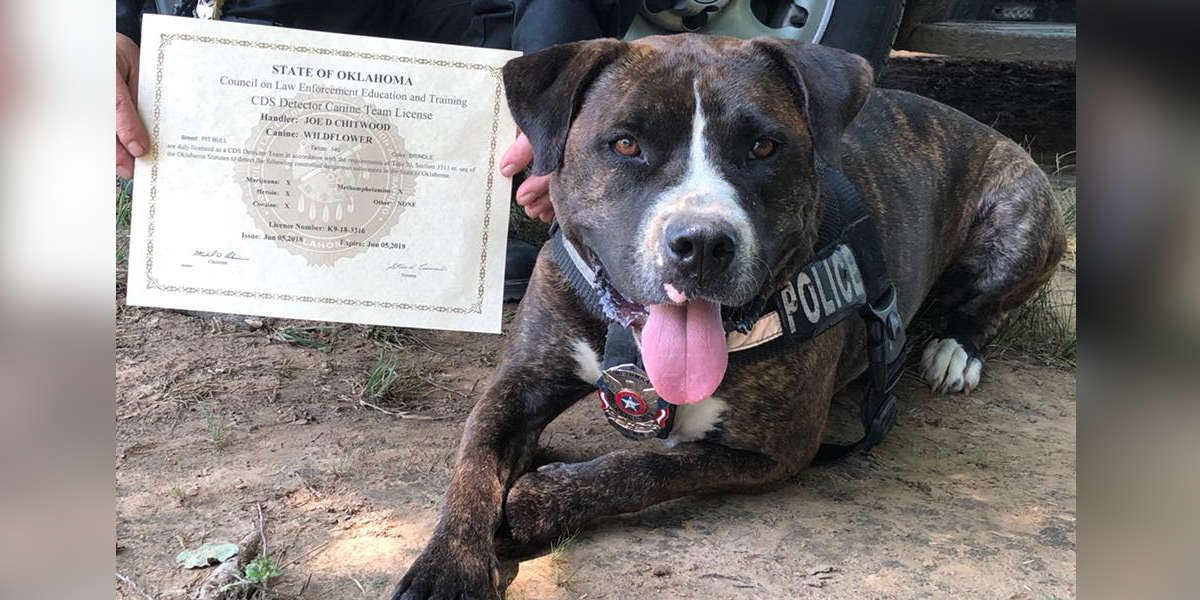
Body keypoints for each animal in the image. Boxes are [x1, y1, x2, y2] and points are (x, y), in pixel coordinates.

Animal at [388, 34, 1065, 600]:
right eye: (625, 143)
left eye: (763, 147)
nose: (703, 243)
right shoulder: (519, 382)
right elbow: (473, 463)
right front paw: (446, 566)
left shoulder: (775, 448)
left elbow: (646, 468)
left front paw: (538, 496)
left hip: (1021, 216)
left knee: (988, 306)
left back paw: (954, 349)